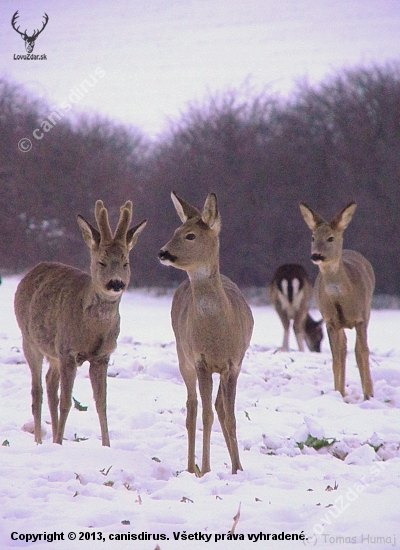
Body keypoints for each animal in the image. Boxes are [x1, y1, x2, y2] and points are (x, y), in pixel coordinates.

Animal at [15, 203, 148, 448]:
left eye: (126, 262)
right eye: (101, 262)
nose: (116, 283)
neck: (92, 332)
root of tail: (32, 270)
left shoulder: (101, 356)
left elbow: (101, 403)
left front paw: (107, 446)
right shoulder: (68, 351)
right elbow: (67, 401)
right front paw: (59, 443)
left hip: (53, 352)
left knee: (50, 383)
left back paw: (53, 436)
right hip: (29, 340)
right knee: (37, 390)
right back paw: (40, 441)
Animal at [158, 192, 252, 476]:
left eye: (190, 235)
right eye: (175, 231)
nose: (162, 252)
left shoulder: (233, 363)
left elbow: (229, 416)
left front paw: (237, 469)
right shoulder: (200, 361)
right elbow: (206, 416)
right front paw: (208, 468)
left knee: (218, 407)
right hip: (182, 356)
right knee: (192, 408)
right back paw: (192, 468)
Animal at [300, 203, 376, 402]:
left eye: (330, 238)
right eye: (313, 237)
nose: (316, 255)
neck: (341, 298)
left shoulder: (360, 318)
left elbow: (362, 352)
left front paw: (368, 395)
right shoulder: (330, 321)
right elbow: (336, 356)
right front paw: (338, 393)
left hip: (368, 310)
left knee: (357, 349)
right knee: (343, 348)